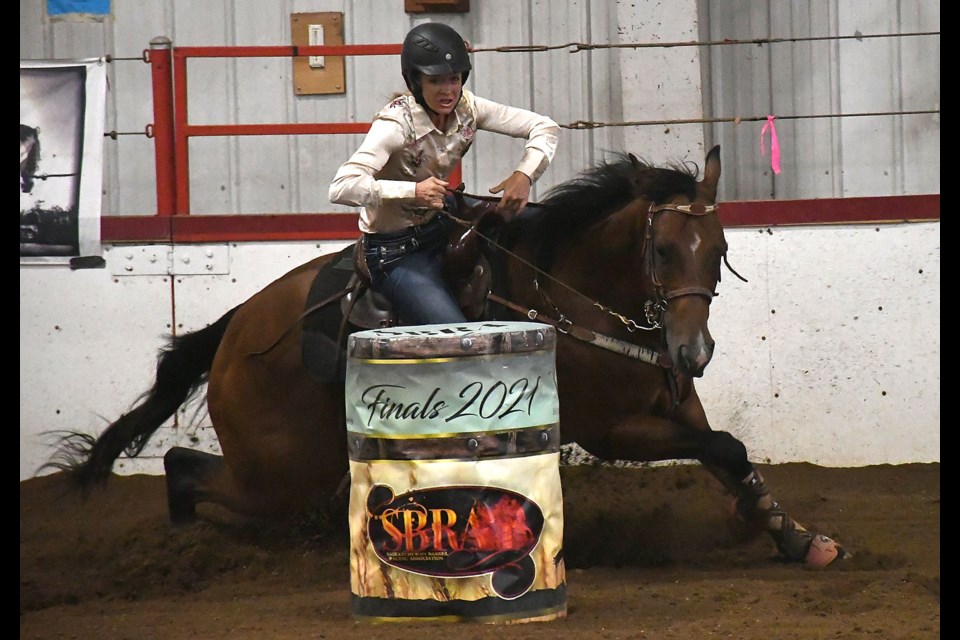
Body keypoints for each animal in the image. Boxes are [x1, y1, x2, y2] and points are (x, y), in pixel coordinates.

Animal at [50, 148, 848, 568]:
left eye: (719, 249)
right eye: (661, 250)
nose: (695, 349)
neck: (574, 291)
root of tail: (234, 330)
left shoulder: (677, 405)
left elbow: (729, 451)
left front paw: (793, 535)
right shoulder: (613, 431)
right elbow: (726, 445)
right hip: (278, 470)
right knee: (186, 471)